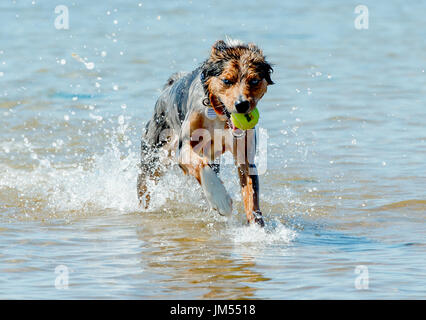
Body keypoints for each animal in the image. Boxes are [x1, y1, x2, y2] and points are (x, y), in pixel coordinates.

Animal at [138, 38, 274, 226]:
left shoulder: (245, 158)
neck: (217, 116)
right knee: (144, 187)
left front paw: (256, 229)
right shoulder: (183, 148)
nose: (242, 105)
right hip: (153, 157)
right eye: (227, 81)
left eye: (254, 81)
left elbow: (251, 198)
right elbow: (200, 165)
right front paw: (221, 200)